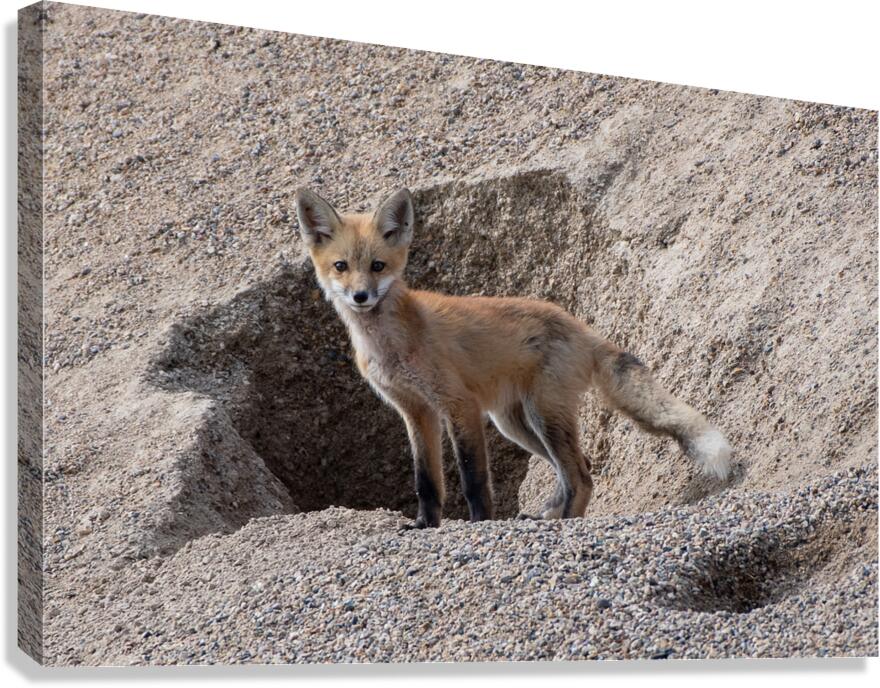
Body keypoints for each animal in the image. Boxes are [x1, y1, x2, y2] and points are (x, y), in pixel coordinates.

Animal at [295, 187, 732, 528]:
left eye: (377, 266)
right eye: (341, 266)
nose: (360, 296)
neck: (394, 344)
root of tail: (578, 325)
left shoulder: (459, 405)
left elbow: (472, 479)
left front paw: (479, 523)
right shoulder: (415, 411)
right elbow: (426, 481)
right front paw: (424, 525)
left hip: (542, 416)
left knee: (580, 476)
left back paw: (565, 522)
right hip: (516, 424)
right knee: (580, 467)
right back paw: (549, 515)